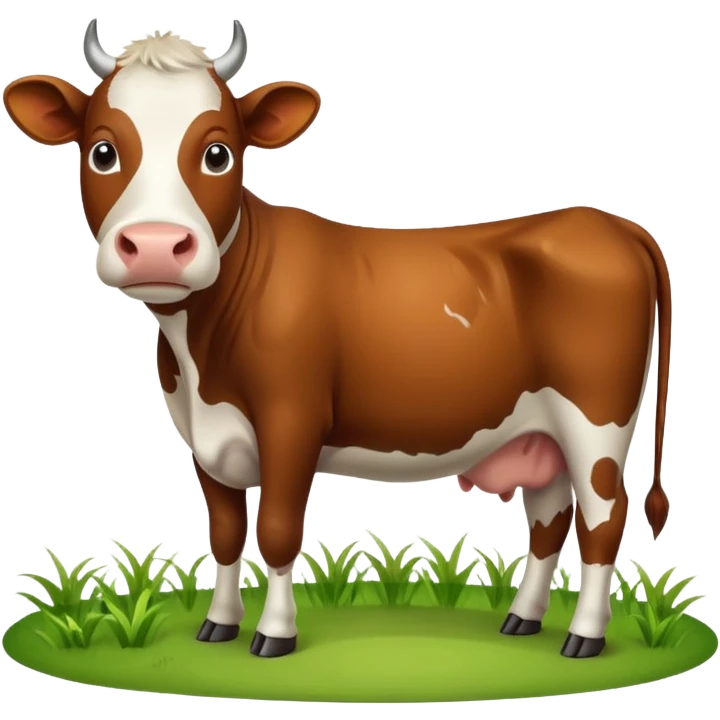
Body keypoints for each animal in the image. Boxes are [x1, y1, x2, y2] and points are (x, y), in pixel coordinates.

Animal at [2, 17, 672, 660]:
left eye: (218, 152)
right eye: (103, 150)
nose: (157, 246)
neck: (199, 358)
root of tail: (607, 223)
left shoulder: (292, 419)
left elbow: (276, 531)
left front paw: (274, 635)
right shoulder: (203, 435)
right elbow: (224, 535)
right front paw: (218, 625)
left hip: (597, 420)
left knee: (603, 521)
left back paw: (583, 637)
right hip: (541, 432)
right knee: (549, 519)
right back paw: (522, 619)